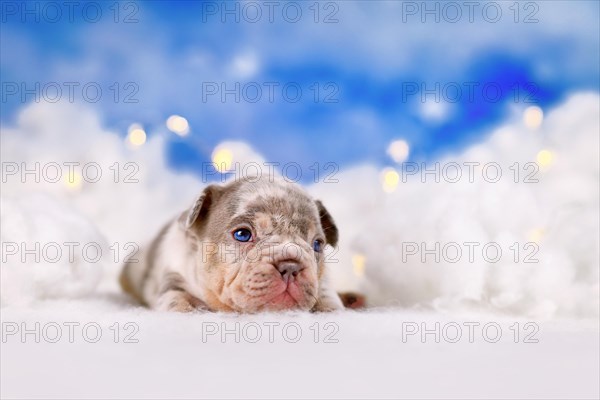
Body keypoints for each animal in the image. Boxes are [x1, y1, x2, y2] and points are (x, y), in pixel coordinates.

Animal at [119, 177, 344, 312]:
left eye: (317, 244)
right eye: (242, 234)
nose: (291, 266)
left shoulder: (321, 284)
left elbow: (329, 299)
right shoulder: (175, 278)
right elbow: (176, 301)